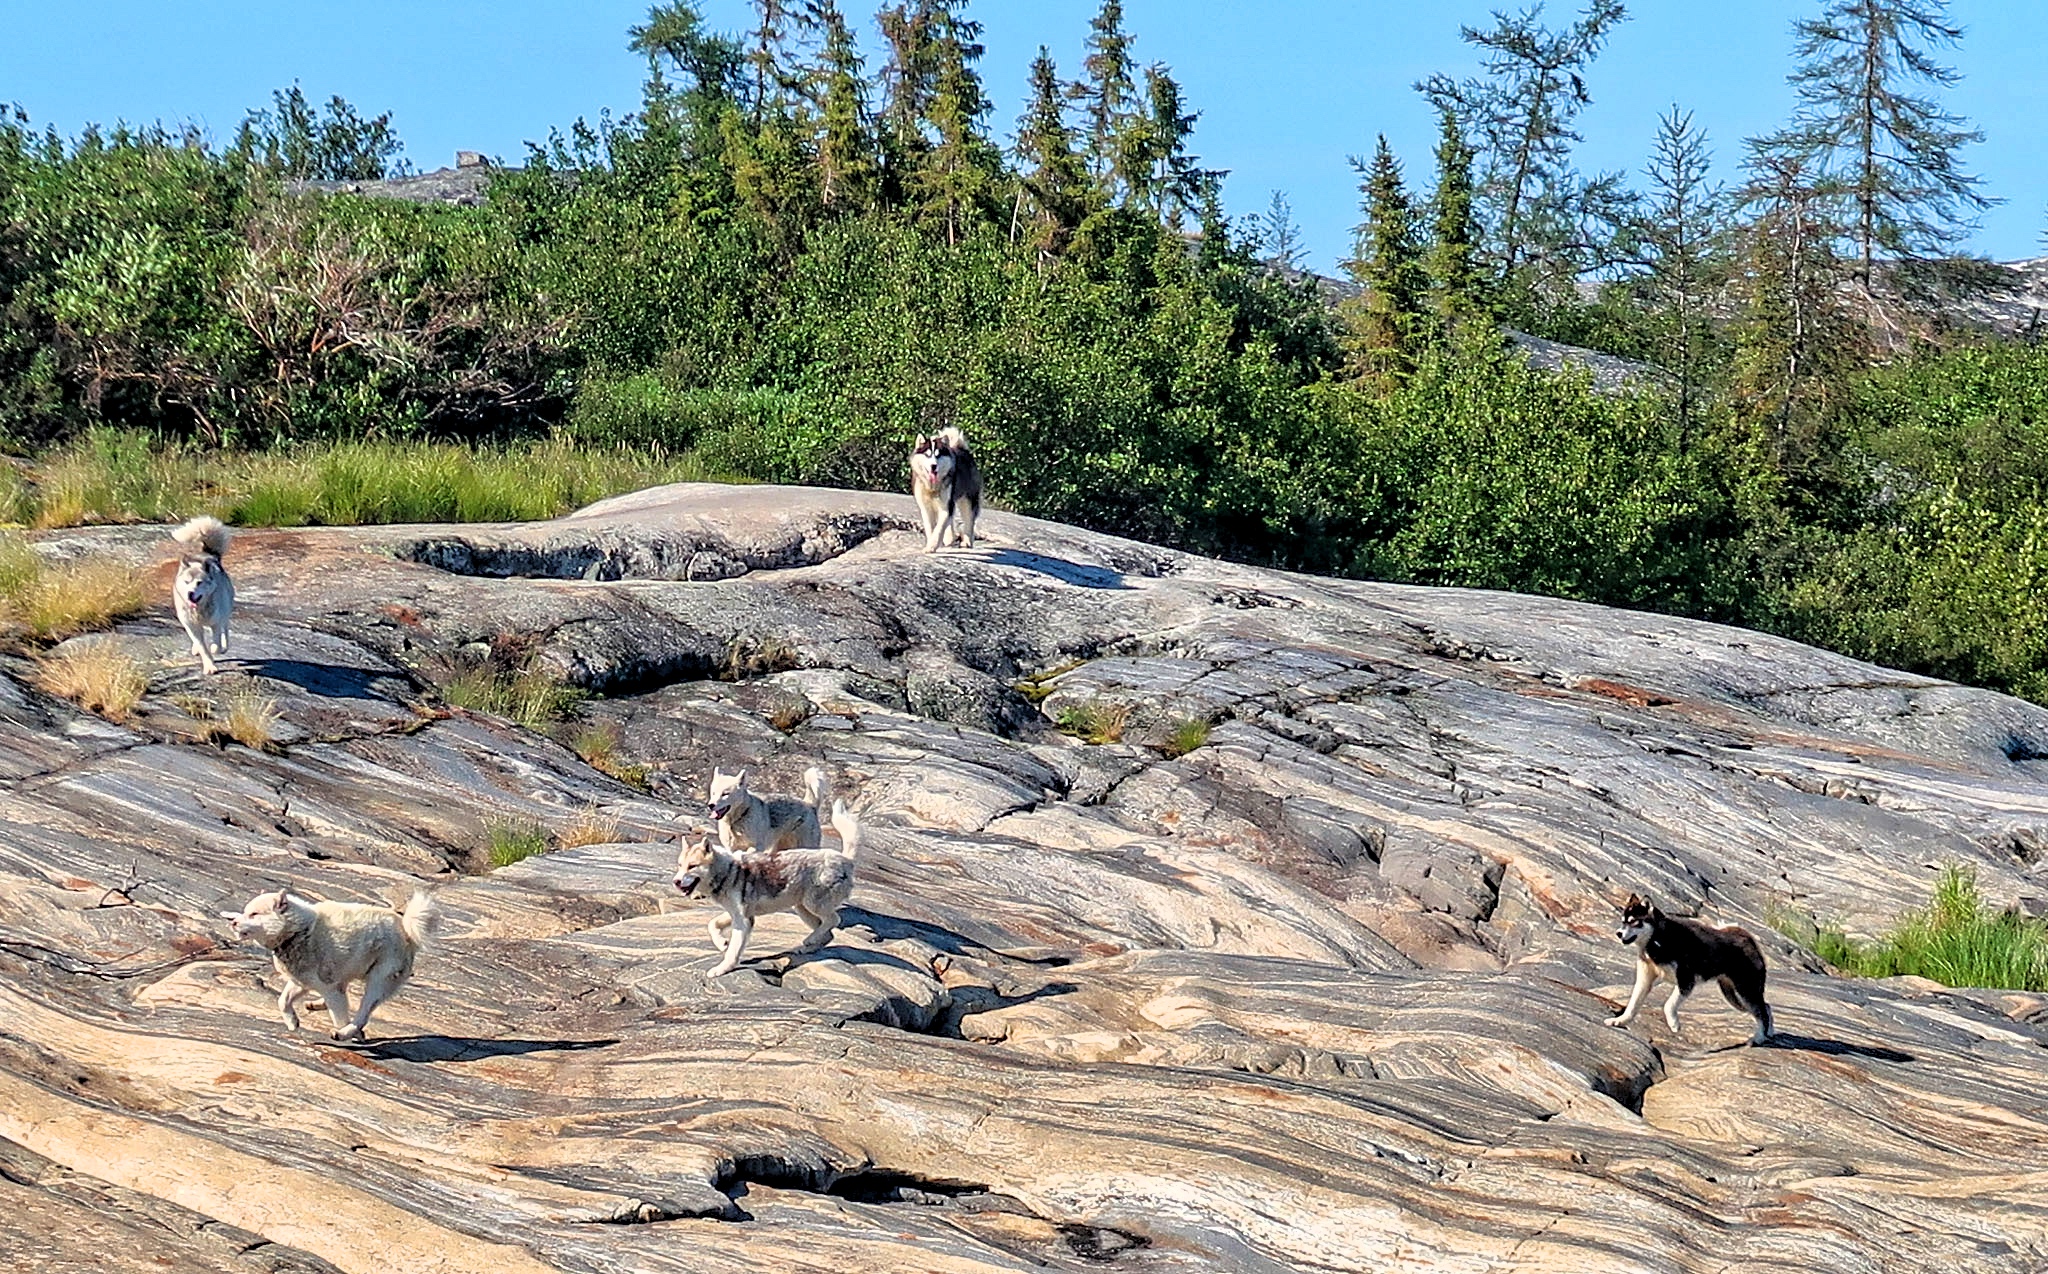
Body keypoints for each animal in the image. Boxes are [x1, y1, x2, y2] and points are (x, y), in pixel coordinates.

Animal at [168, 520, 233, 680]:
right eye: (186, 582)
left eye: (199, 583)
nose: (190, 593)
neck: (199, 609)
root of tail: (207, 553)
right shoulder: (191, 625)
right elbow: (203, 648)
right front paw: (209, 666)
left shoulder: (215, 622)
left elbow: (215, 642)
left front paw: (216, 649)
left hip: (225, 612)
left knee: (225, 629)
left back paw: (223, 646)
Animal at [224, 888, 440, 1048]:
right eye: (245, 912)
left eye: (254, 914)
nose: (233, 922)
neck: (298, 931)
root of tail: (407, 930)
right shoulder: (301, 982)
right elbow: (282, 1001)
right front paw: (292, 1022)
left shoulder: (328, 987)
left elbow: (340, 1016)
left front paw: (349, 1034)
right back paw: (317, 1004)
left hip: (378, 980)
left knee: (363, 1013)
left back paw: (345, 1032)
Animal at [671, 798, 864, 979]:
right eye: (680, 865)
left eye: (692, 866)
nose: (676, 881)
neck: (729, 871)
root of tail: (845, 860)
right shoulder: (736, 913)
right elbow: (713, 925)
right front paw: (721, 943)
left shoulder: (744, 921)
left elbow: (733, 951)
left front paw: (722, 969)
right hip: (802, 908)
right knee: (828, 933)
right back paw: (806, 946)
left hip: (813, 904)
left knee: (834, 920)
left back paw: (809, 940)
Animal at [1597, 897, 1777, 1048]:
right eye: (1623, 922)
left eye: (1634, 922)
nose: (1618, 933)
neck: (1657, 939)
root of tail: (1746, 936)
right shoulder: (1645, 980)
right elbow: (1633, 1005)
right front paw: (1620, 1021)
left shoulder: (1685, 981)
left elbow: (1668, 1005)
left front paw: (1674, 1024)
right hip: (1733, 996)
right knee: (1766, 1007)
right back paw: (1768, 1033)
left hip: (1745, 992)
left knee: (1761, 1012)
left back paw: (1759, 1038)